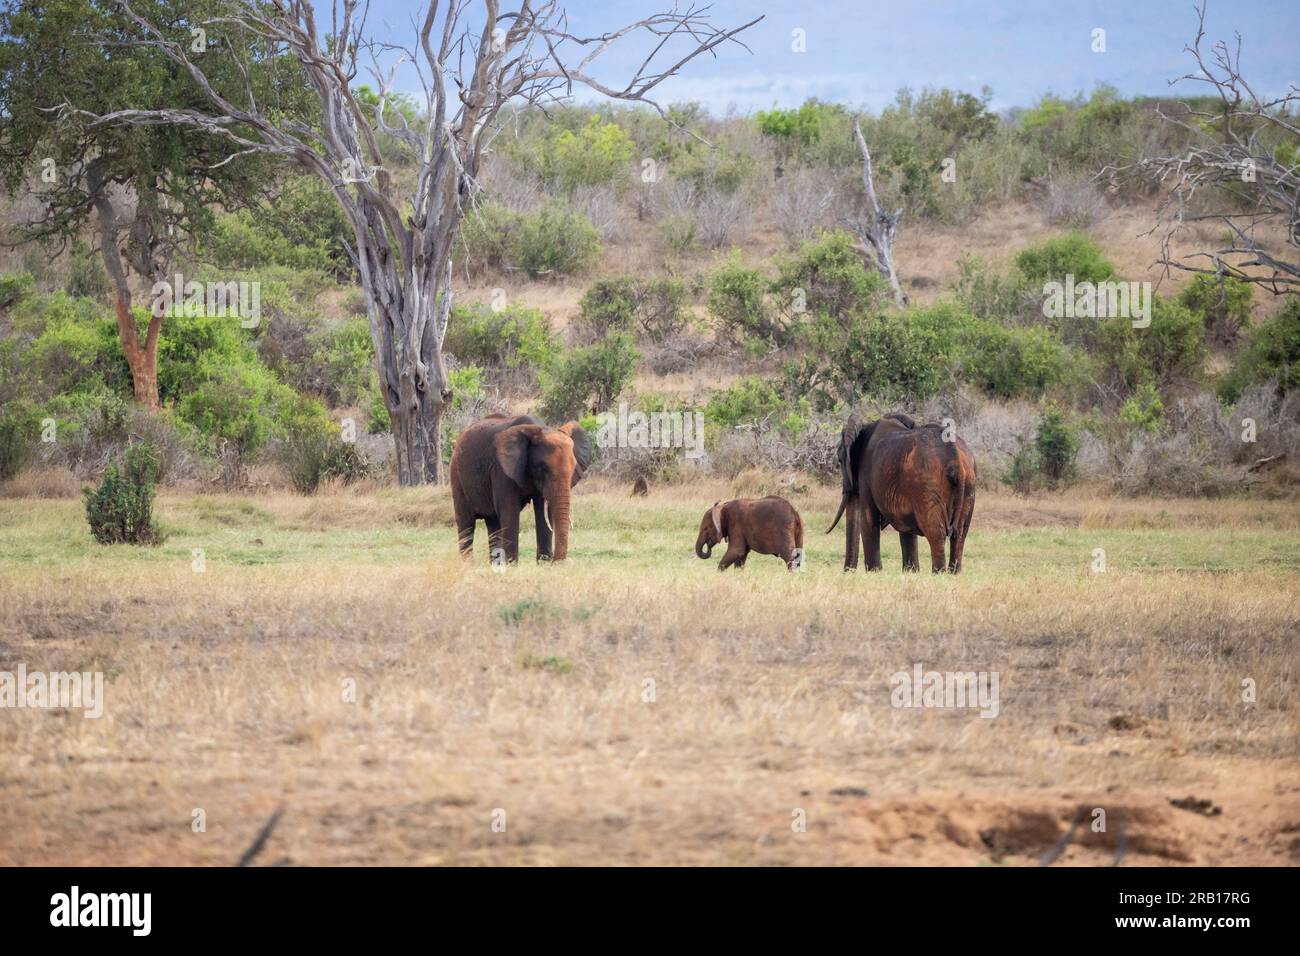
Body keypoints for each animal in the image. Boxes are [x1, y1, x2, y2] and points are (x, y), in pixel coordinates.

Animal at [447, 416, 590, 564]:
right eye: (543, 468)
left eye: (574, 468)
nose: (554, 564)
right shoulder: (501, 469)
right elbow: (510, 511)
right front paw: (512, 565)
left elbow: (543, 512)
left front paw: (543, 563)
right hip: (456, 474)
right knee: (466, 522)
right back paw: (468, 564)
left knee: (493, 523)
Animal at [832, 413, 977, 574]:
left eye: (840, 460)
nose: (847, 572)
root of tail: (955, 456)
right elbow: (906, 528)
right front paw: (911, 572)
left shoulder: (866, 475)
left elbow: (868, 520)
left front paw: (874, 572)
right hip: (969, 485)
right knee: (960, 535)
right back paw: (953, 574)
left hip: (928, 488)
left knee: (936, 534)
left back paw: (938, 574)